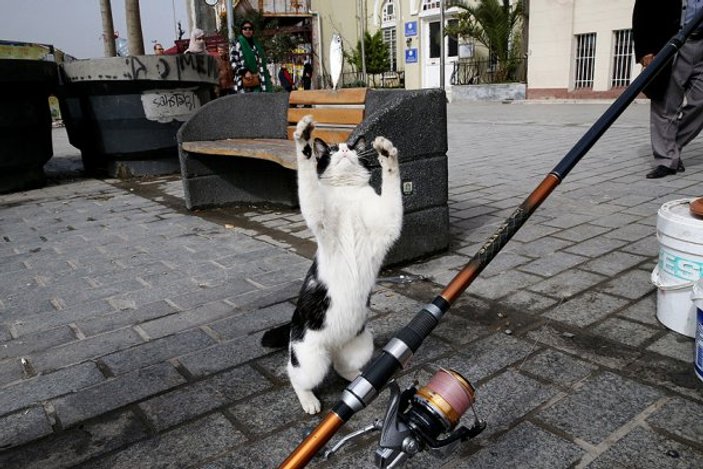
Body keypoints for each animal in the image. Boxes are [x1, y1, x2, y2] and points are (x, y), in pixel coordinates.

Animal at [260, 114, 404, 414]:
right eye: (334, 149)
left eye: (352, 147)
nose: (346, 149)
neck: (348, 193)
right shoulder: (319, 214)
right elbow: (307, 178)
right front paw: (303, 138)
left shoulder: (388, 220)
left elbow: (392, 184)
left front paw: (387, 153)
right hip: (309, 360)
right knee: (295, 375)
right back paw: (309, 401)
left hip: (361, 345)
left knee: (341, 366)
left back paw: (361, 380)